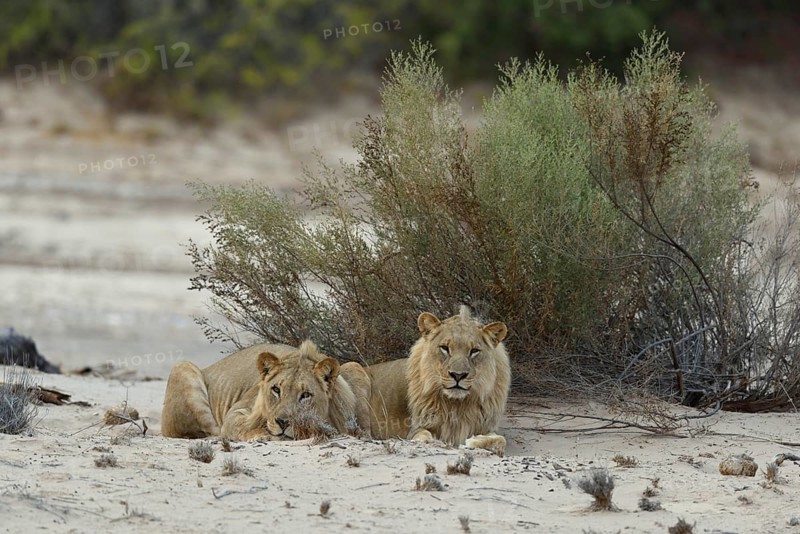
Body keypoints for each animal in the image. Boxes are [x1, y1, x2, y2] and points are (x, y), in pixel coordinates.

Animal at [161, 340, 372, 441]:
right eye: (276, 389)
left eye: (305, 395)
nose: (282, 422)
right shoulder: (236, 412)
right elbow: (241, 426)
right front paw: (262, 435)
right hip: (182, 366)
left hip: (354, 366)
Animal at [366, 306, 510, 455]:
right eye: (445, 348)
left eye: (474, 350)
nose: (458, 375)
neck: (457, 405)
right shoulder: (416, 428)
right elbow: (424, 437)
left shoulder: (485, 427)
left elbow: (501, 440)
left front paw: (472, 441)